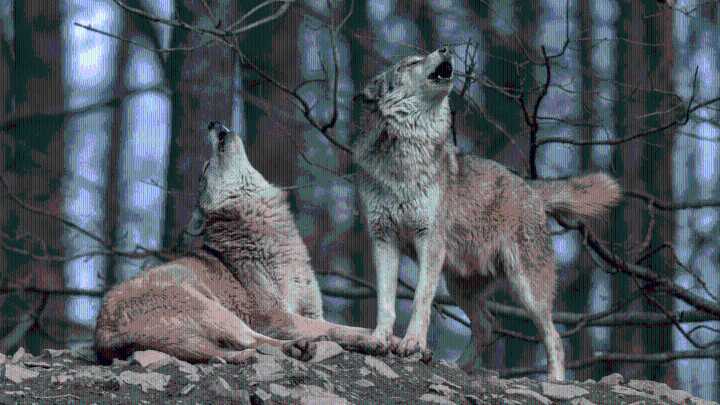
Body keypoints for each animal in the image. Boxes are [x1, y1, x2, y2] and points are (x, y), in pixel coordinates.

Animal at [95, 122, 387, 364]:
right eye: (205, 169)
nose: (212, 123)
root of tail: (103, 333)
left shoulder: (313, 311)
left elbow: (338, 325)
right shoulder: (278, 317)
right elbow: (337, 328)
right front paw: (374, 339)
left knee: (231, 349)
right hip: (213, 308)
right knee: (253, 340)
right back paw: (299, 346)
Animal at [354, 47, 621, 381]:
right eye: (412, 62)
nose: (445, 48)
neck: (405, 159)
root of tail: (531, 187)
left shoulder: (429, 241)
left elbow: (420, 300)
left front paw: (412, 343)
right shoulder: (383, 239)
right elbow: (386, 302)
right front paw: (379, 339)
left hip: (526, 289)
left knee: (553, 337)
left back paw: (555, 382)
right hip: (459, 287)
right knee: (489, 326)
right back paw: (458, 367)